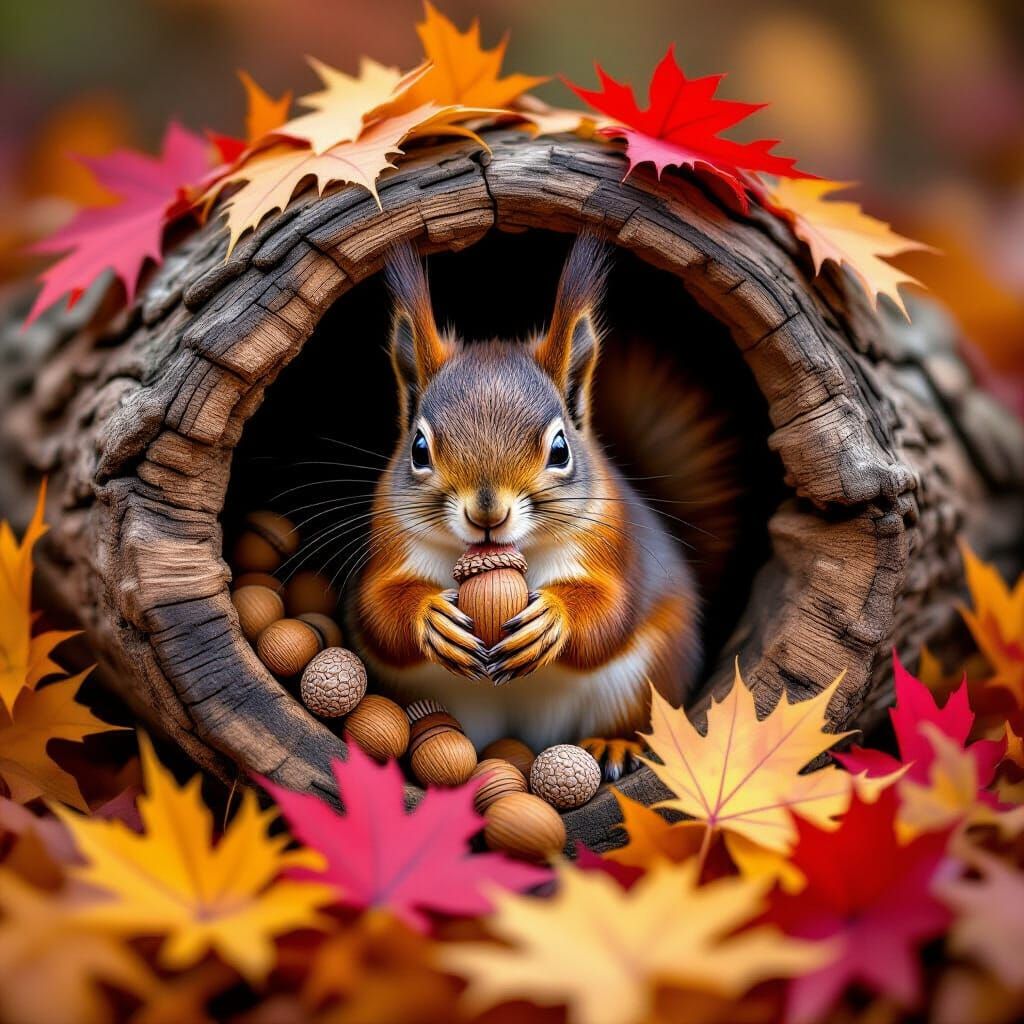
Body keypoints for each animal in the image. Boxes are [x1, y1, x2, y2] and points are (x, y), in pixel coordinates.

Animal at [350, 235, 740, 778]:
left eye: (560, 449)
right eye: (419, 449)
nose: (487, 514)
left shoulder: (612, 544)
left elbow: (610, 613)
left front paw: (553, 618)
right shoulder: (388, 542)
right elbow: (378, 610)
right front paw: (430, 616)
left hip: (646, 679)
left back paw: (613, 743)